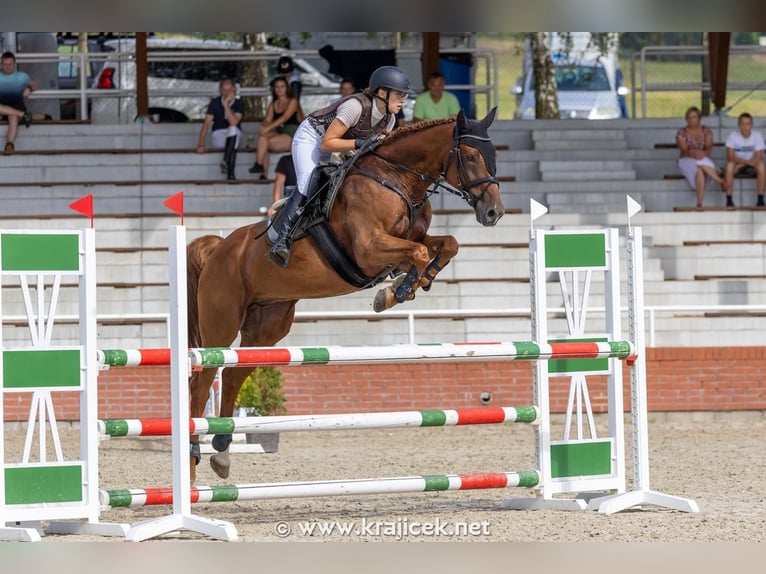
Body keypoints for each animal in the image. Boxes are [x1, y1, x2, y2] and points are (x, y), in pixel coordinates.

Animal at [186, 107, 505, 481]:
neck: (397, 178)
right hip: (221, 323)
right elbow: (419, 253)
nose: (494, 213)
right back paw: (193, 457)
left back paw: (222, 452)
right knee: (203, 380)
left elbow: (444, 245)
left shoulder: (410, 239)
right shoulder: (369, 250)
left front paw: (411, 284)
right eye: (470, 157)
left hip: (267, 325)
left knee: (233, 374)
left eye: (493, 155)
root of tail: (218, 248)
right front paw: (394, 292)